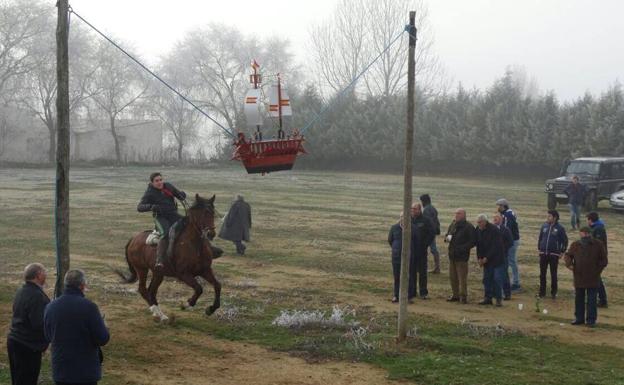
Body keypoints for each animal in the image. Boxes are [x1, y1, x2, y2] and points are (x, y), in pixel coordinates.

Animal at [116, 192, 221, 320]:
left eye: (212, 213)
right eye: (203, 213)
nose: (210, 234)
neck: (194, 246)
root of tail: (133, 239)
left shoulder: (205, 270)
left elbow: (217, 285)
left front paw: (211, 309)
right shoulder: (183, 274)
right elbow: (199, 288)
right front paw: (186, 304)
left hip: (158, 273)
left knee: (151, 291)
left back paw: (160, 314)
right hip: (141, 269)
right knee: (143, 289)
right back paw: (158, 313)